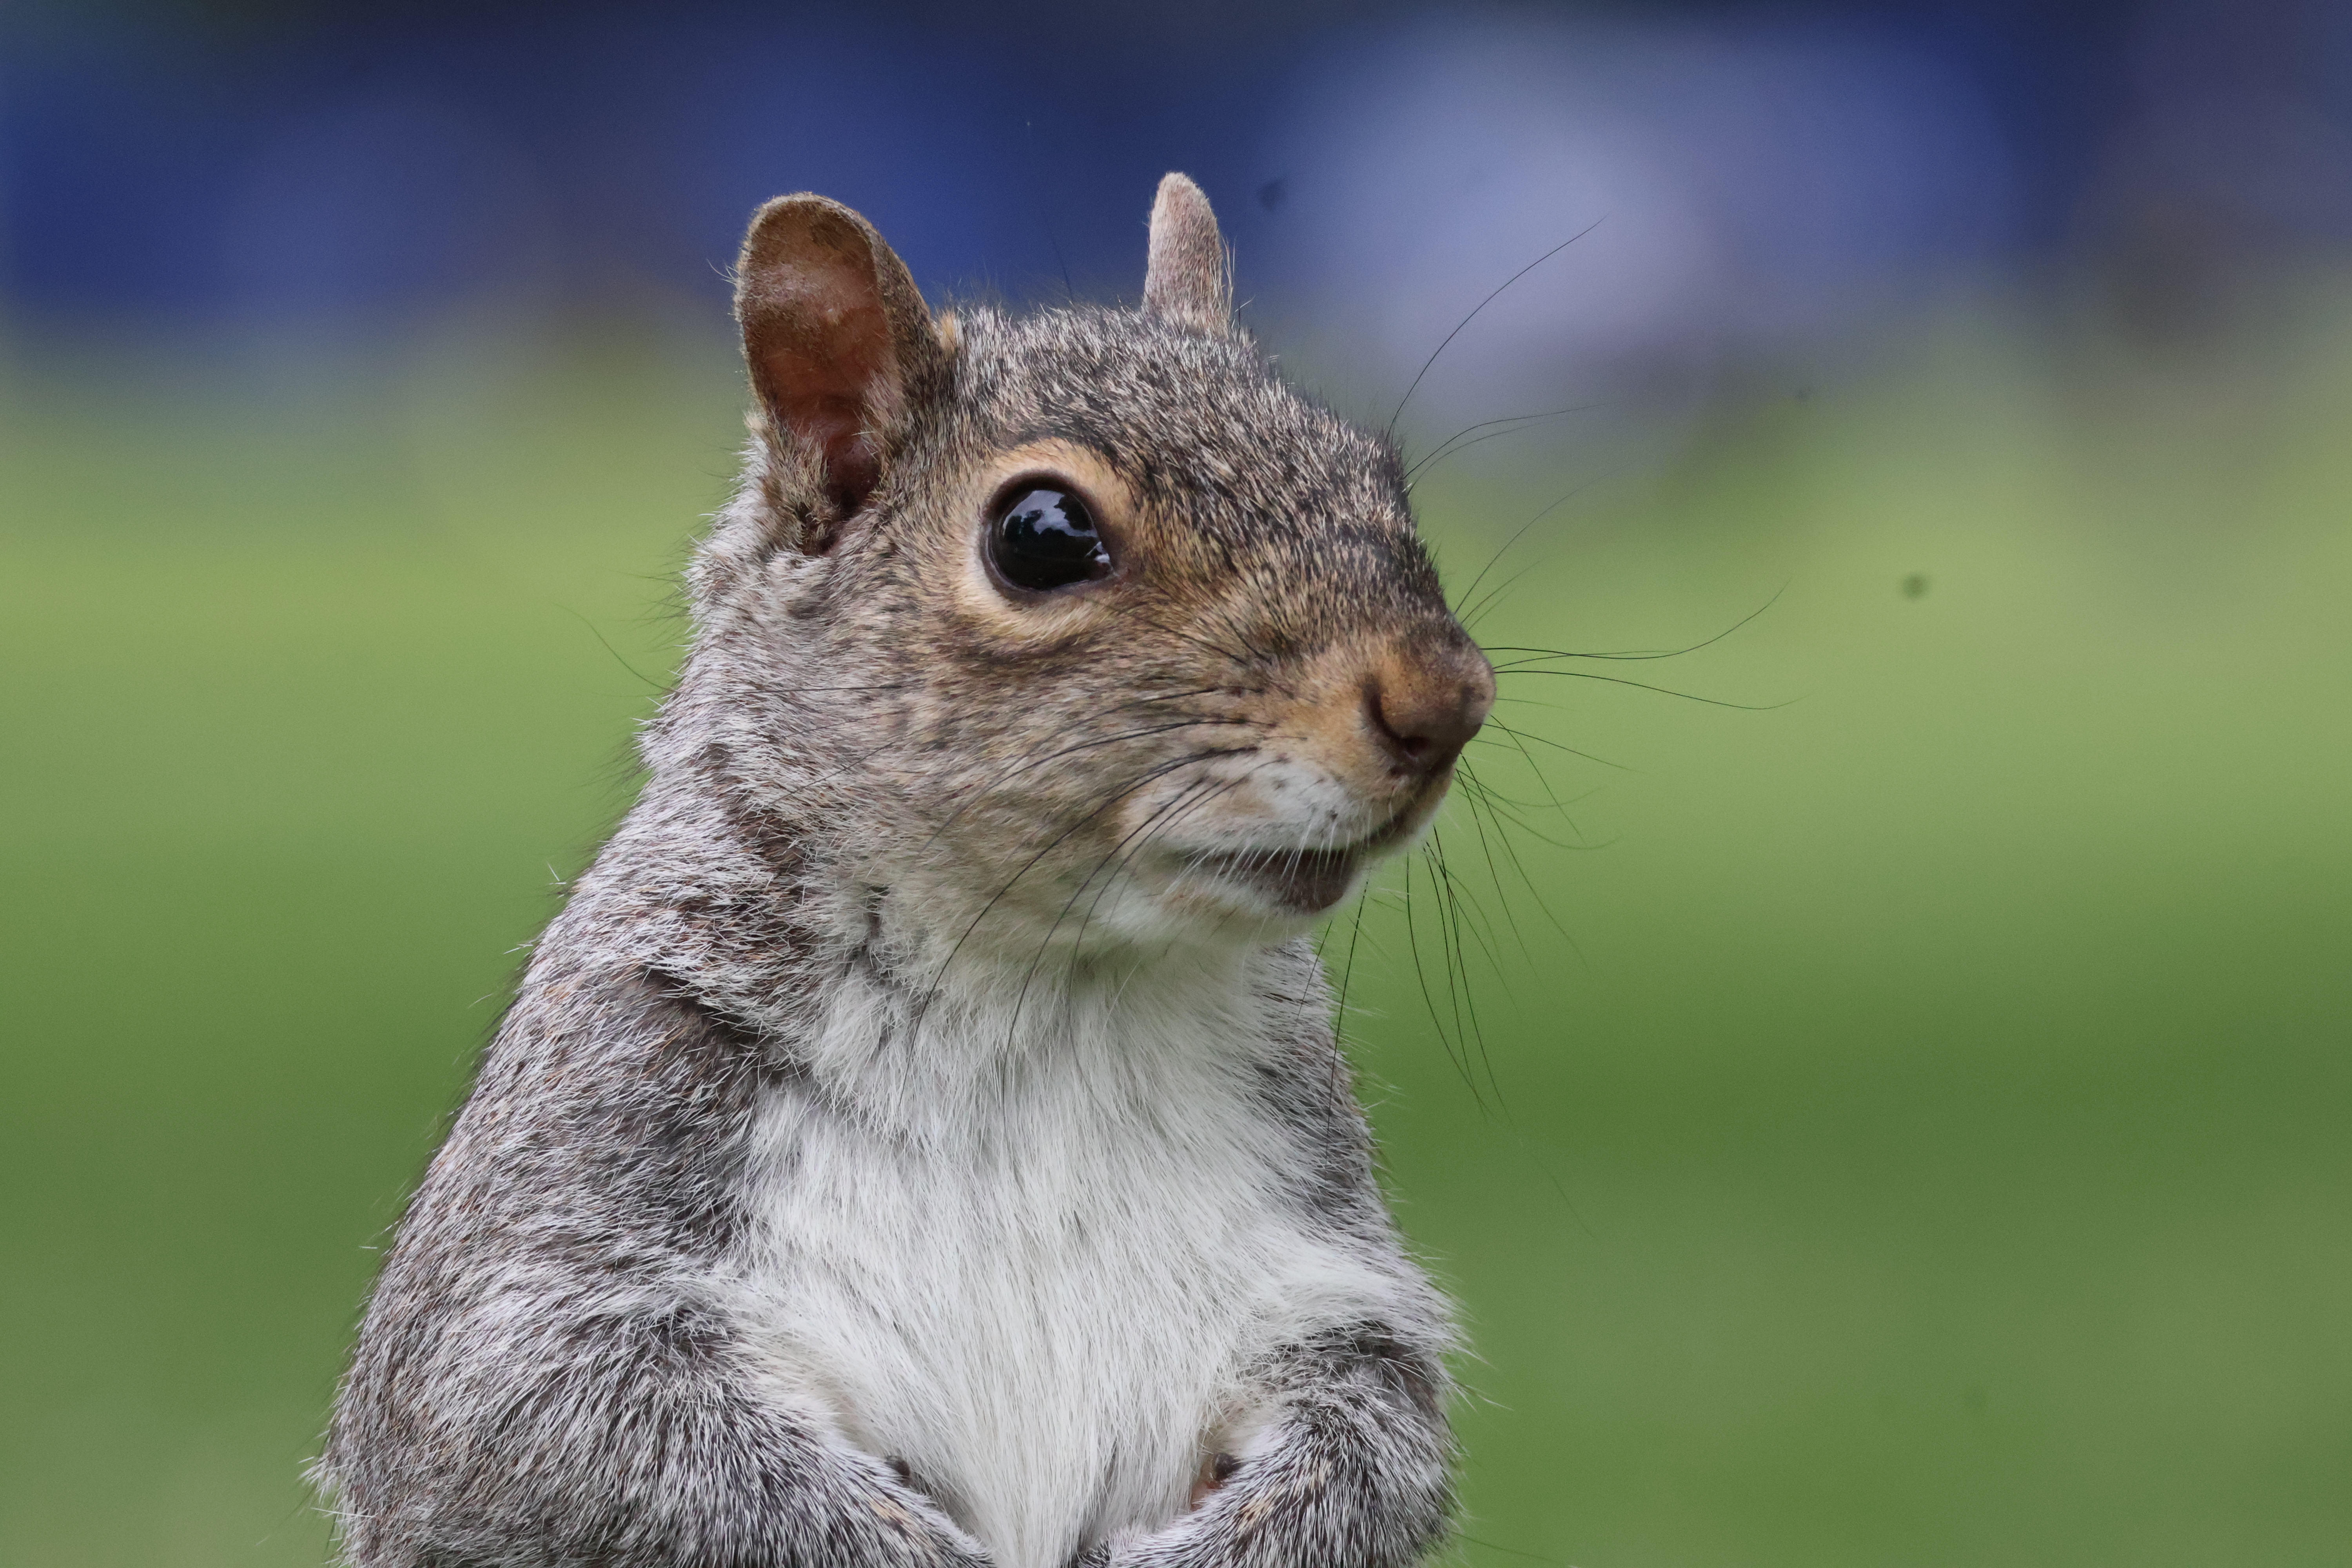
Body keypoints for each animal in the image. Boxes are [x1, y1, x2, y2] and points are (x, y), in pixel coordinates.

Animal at [318, 173, 1497, 1568]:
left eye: (1375, 471)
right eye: (1041, 536)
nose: (1447, 699)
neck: (1048, 988)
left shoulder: (1320, 1276)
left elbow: (1377, 1428)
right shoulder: (558, 1227)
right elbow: (539, 1416)